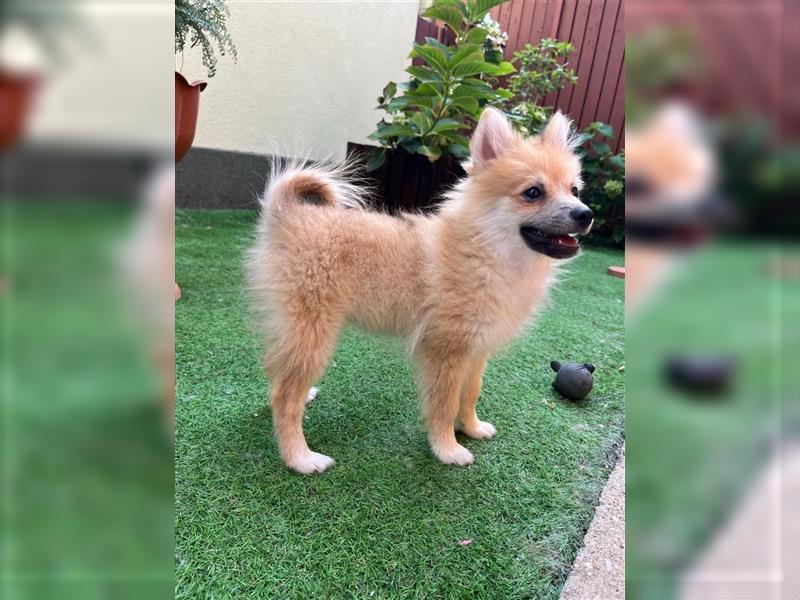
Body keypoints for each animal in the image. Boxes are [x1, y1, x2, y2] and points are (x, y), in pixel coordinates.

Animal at [247, 108, 592, 474]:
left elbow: (471, 393)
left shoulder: (475, 351)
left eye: (574, 190)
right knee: (284, 395)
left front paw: (471, 427)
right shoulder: (445, 352)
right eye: (533, 192)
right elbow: (444, 404)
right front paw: (447, 448)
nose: (586, 214)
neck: (488, 252)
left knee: (277, 372)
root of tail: (287, 215)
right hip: (312, 331)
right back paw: (299, 457)